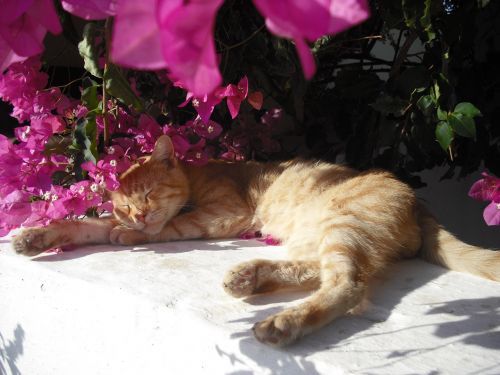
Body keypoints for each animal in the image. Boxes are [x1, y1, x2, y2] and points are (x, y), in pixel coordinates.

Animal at [11, 134, 500, 346]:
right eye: (126, 204)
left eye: (147, 196)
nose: (139, 216)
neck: (197, 177)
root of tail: (418, 201)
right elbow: (82, 223)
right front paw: (37, 235)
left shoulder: (223, 214)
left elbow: (157, 230)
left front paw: (129, 232)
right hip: (317, 235)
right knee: (317, 271)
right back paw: (250, 277)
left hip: (343, 225)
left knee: (347, 285)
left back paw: (283, 323)